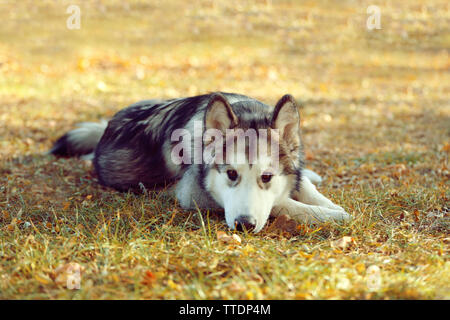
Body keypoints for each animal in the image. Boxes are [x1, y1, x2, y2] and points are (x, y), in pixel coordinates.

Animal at [50, 92, 352, 232]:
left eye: (266, 177)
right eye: (231, 174)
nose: (244, 225)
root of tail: (106, 126)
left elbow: (303, 188)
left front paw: (330, 205)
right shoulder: (192, 194)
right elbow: (283, 204)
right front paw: (331, 215)